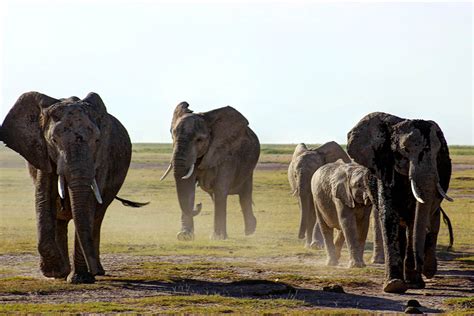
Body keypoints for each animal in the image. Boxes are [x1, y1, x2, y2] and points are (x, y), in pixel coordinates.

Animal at [0, 90, 147, 284]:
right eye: (54, 140)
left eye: (97, 140)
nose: (94, 272)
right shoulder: (41, 153)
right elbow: (43, 199)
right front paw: (55, 272)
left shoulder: (100, 158)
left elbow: (89, 204)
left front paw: (81, 278)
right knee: (60, 218)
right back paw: (63, 273)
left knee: (97, 217)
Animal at [162, 102, 260, 241]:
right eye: (172, 136)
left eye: (199, 140)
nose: (198, 204)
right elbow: (188, 187)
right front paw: (184, 236)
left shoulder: (227, 154)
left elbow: (220, 188)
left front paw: (217, 238)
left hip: (249, 166)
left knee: (244, 196)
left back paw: (250, 231)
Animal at [346, 111, 454, 294]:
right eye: (405, 150)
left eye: (438, 152)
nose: (421, 266)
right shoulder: (384, 168)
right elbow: (389, 215)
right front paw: (394, 286)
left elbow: (413, 219)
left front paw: (413, 284)